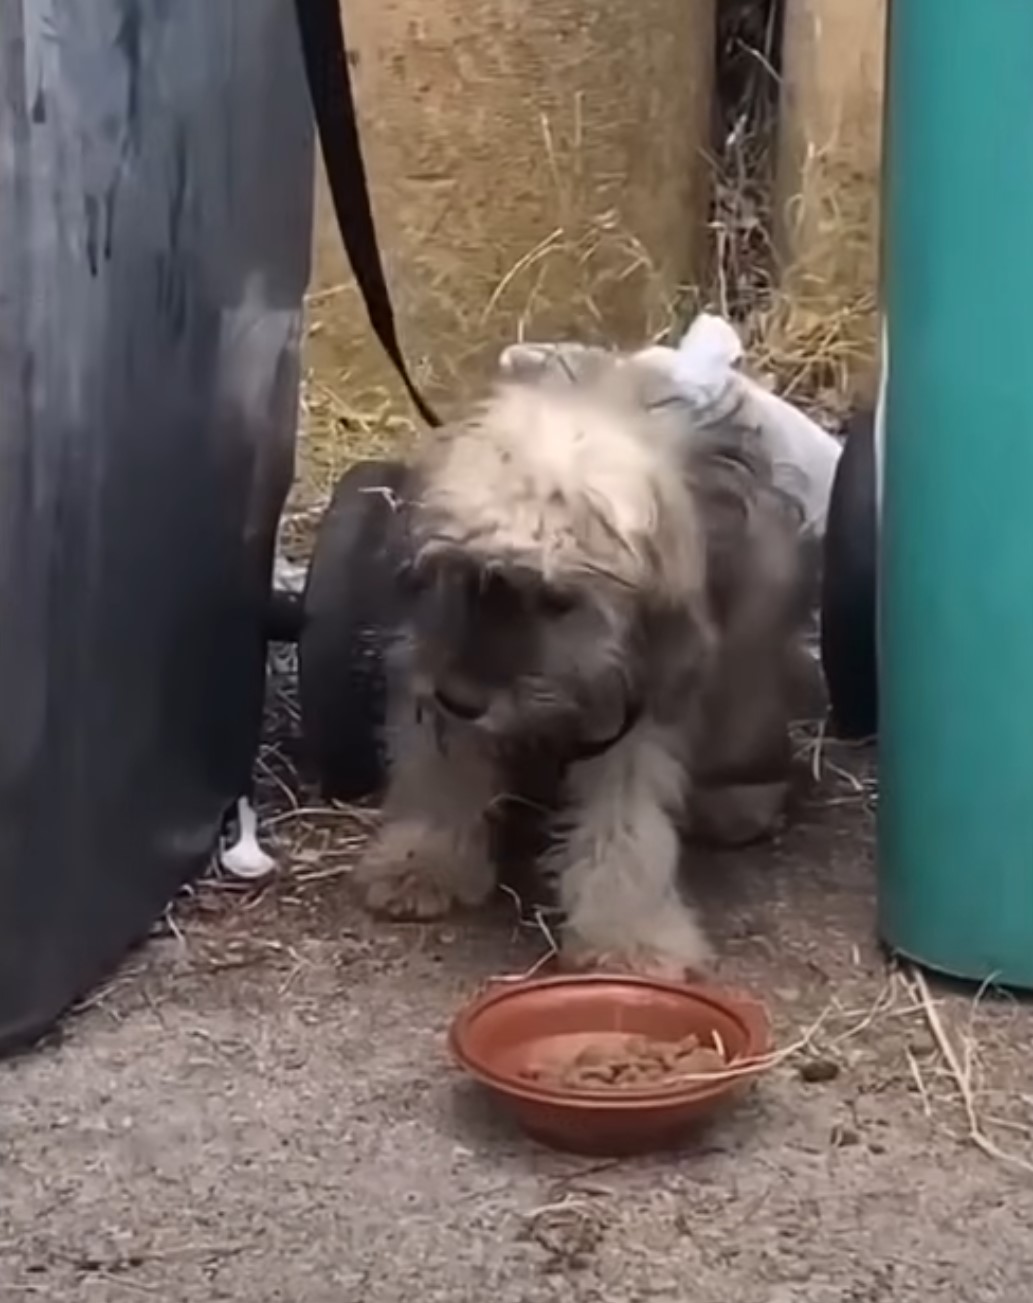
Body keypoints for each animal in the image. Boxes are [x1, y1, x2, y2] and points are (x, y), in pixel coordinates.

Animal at [354, 351, 812, 974]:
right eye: (468, 573)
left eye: (556, 598)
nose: (462, 699)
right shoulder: (432, 654)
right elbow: (441, 766)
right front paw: (422, 857)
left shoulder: (640, 707)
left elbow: (626, 825)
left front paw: (628, 937)